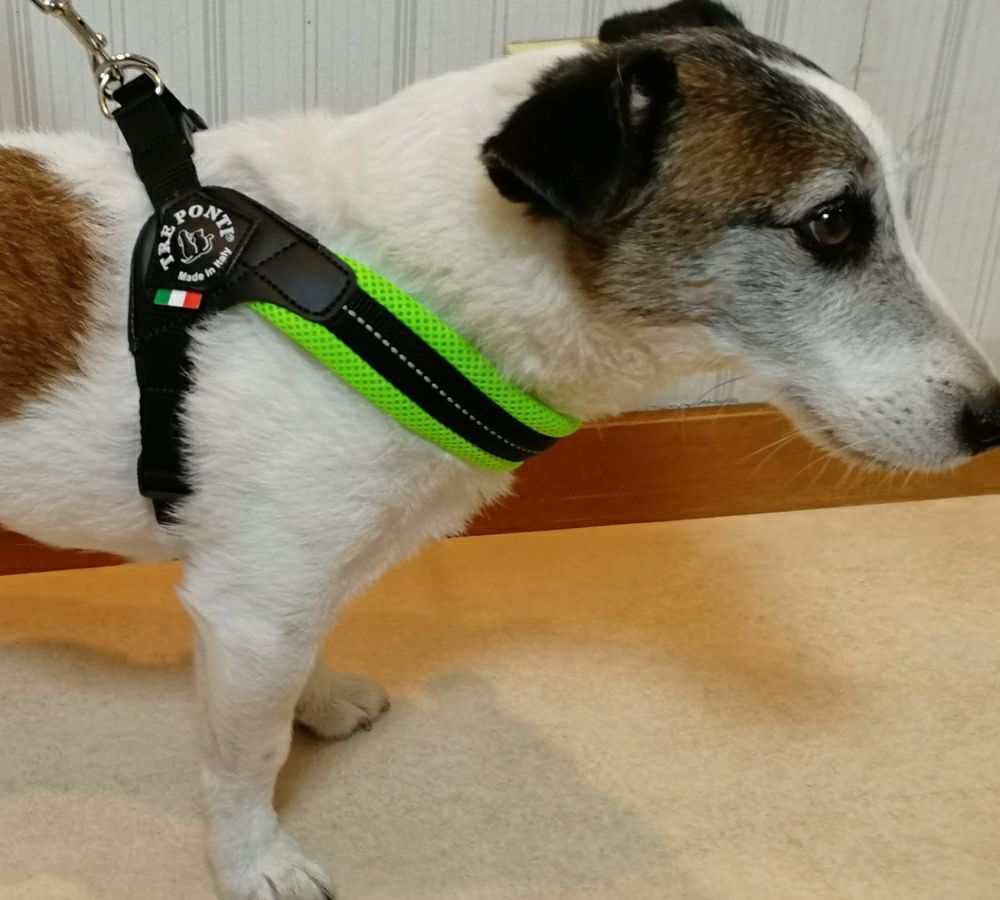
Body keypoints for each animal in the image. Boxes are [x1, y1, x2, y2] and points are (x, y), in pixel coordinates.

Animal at [1, 1, 998, 897]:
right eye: (831, 224)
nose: (992, 419)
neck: (372, 280)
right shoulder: (252, 604)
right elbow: (249, 756)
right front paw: (255, 862)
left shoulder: (282, 596)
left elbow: (295, 677)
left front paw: (318, 698)